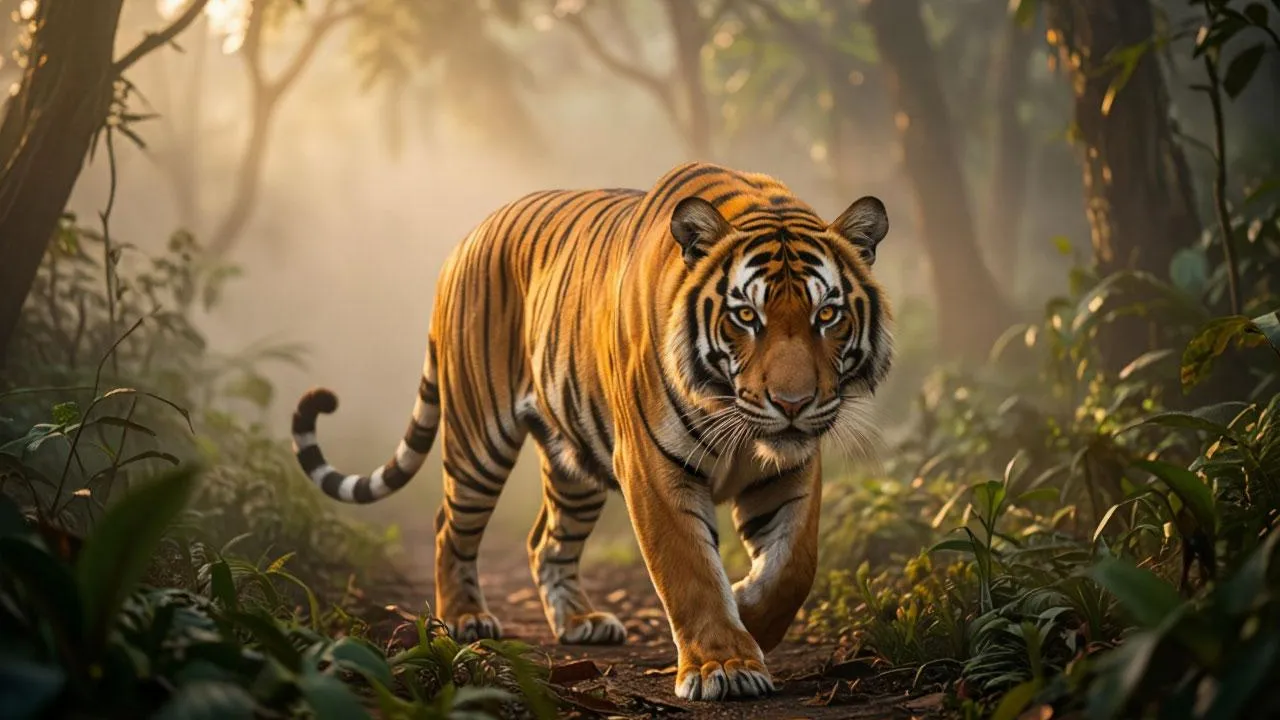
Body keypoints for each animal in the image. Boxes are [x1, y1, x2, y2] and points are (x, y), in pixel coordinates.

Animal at [290, 161, 893, 701]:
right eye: (747, 317)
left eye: (827, 315)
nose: (793, 403)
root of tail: (466, 238)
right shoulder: (653, 467)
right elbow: (691, 569)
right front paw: (724, 665)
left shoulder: (791, 467)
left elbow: (794, 566)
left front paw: (747, 612)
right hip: (478, 440)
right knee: (449, 527)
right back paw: (465, 620)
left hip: (572, 462)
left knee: (546, 541)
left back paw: (581, 621)